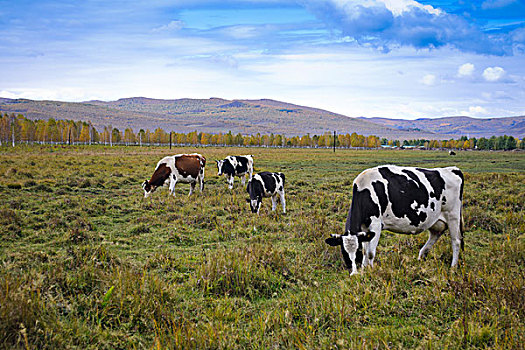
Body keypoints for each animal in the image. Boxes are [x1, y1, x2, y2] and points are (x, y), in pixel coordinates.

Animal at [324, 165, 462, 274]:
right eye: (344, 252)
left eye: (356, 252)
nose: (353, 274)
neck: (364, 191)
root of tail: (453, 169)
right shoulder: (364, 228)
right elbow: (365, 250)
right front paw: (364, 269)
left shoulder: (376, 225)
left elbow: (370, 252)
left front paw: (370, 270)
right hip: (436, 220)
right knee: (435, 235)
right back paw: (420, 258)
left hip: (453, 215)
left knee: (456, 241)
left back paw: (453, 268)